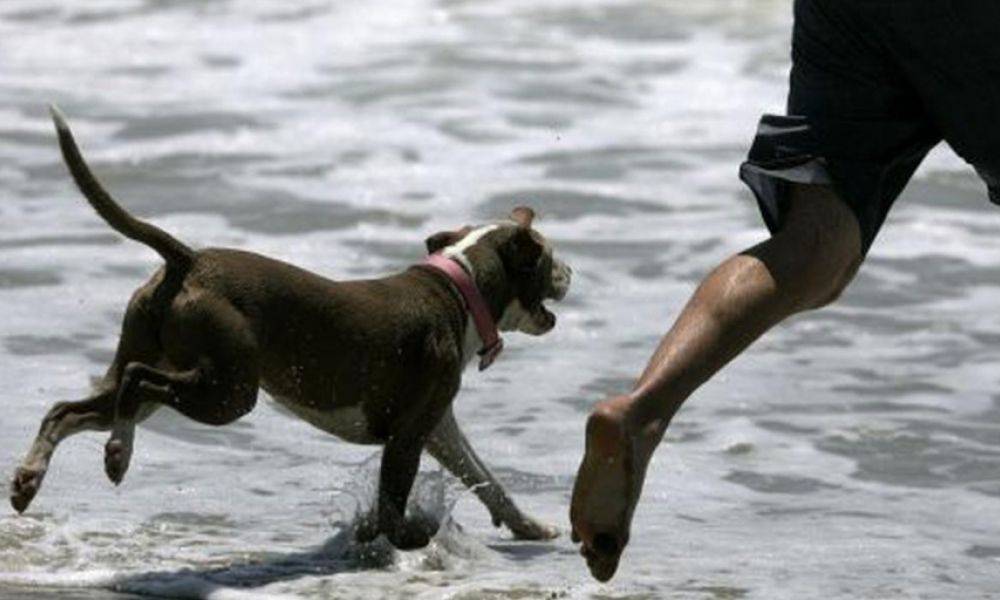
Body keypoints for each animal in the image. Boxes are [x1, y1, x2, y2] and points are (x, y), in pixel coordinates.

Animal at [9, 106, 572, 548]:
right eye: (550, 259)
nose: (571, 272)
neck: (459, 286)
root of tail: (188, 260)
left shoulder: (439, 428)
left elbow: (486, 478)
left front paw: (531, 527)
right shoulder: (410, 433)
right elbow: (394, 502)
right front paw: (405, 535)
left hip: (165, 359)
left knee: (70, 409)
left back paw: (32, 478)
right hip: (229, 391)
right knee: (138, 381)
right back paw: (117, 454)